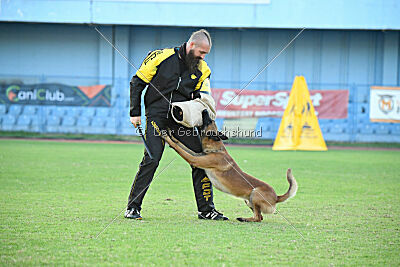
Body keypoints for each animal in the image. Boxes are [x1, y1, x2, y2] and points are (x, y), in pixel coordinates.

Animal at [162, 110, 296, 223]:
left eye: (209, 121)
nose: (205, 110)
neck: (216, 149)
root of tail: (276, 197)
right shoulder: (197, 155)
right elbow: (181, 145)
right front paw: (170, 133)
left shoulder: (194, 159)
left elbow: (180, 149)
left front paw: (166, 137)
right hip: (248, 200)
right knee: (260, 217)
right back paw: (244, 218)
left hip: (255, 194)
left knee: (258, 218)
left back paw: (243, 219)